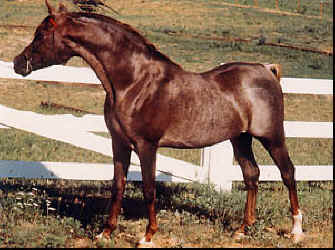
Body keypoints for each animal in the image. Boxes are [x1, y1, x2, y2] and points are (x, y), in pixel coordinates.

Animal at [13, 0, 304, 246]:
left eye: (41, 35)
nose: (18, 63)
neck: (134, 82)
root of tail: (266, 70)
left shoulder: (146, 145)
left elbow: (149, 189)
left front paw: (148, 236)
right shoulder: (119, 143)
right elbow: (117, 186)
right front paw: (106, 233)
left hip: (272, 136)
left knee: (288, 173)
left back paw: (296, 231)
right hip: (240, 138)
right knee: (251, 175)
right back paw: (242, 229)